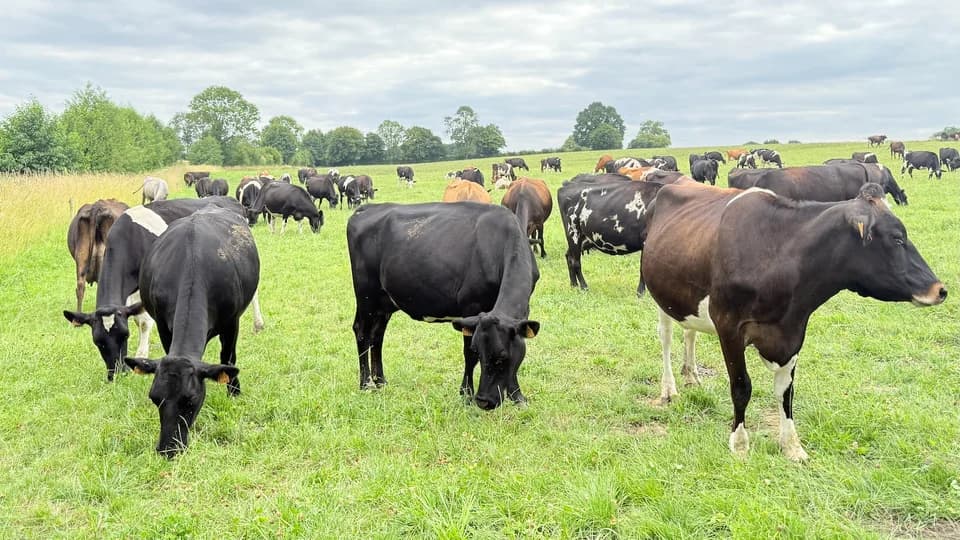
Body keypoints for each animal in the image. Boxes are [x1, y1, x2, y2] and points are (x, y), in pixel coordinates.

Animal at [63, 197, 264, 381]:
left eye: (125, 335)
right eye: (98, 342)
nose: (118, 373)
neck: (130, 237)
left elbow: (143, 321)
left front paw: (141, 354)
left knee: (254, 294)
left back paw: (258, 324)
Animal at [123, 207, 260, 457]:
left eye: (190, 400)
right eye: (154, 398)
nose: (168, 449)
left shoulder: (231, 322)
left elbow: (228, 357)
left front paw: (234, 392)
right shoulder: (163, 324)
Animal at [346, 202, 540, 409]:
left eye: (502, 357)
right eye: (479, 351)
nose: (484, 401)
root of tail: (367, 207)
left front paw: (517, 396)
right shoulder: (471, 307)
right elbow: (468, 355)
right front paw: (466, 394)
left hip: (384, 303)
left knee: (377, 335)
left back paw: (381, 381)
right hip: (366, 296)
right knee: (362, 332)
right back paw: (366, 384)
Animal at [641, 181, 945, 461]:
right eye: (897, 239)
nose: (940, 290)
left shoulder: (794, 330)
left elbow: (786, 392)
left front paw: (792, 446)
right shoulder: (729, 326)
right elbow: (741, 387)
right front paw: (739, 443)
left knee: (690, 332)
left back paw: (691, 376)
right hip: (661, 297)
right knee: (666, 338)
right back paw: (669, 389)